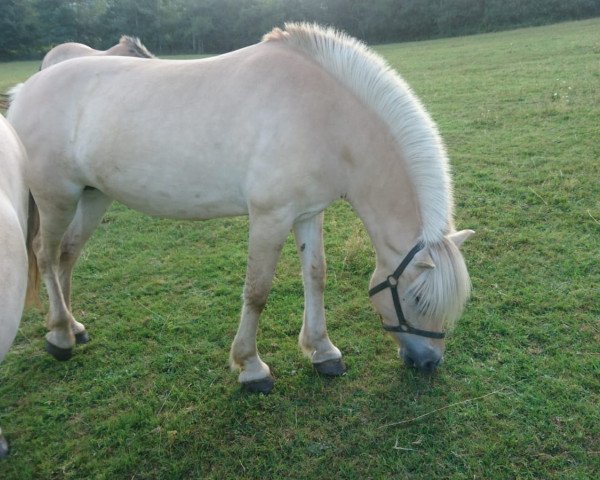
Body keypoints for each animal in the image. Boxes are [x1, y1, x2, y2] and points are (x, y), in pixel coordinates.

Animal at [5, 23, 474, 394]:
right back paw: (59, 337)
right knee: (46, 256)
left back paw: (73, 327)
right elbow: (257, 291)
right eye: (418, 297)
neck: (323, 117)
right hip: (56, 198)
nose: (429, 362)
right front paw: (252, 368)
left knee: (67, 254)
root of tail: (26, 89)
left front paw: (323, 352)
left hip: (93, 196)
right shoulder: (270, 217)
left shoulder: (308, 213)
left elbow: (316, 277)